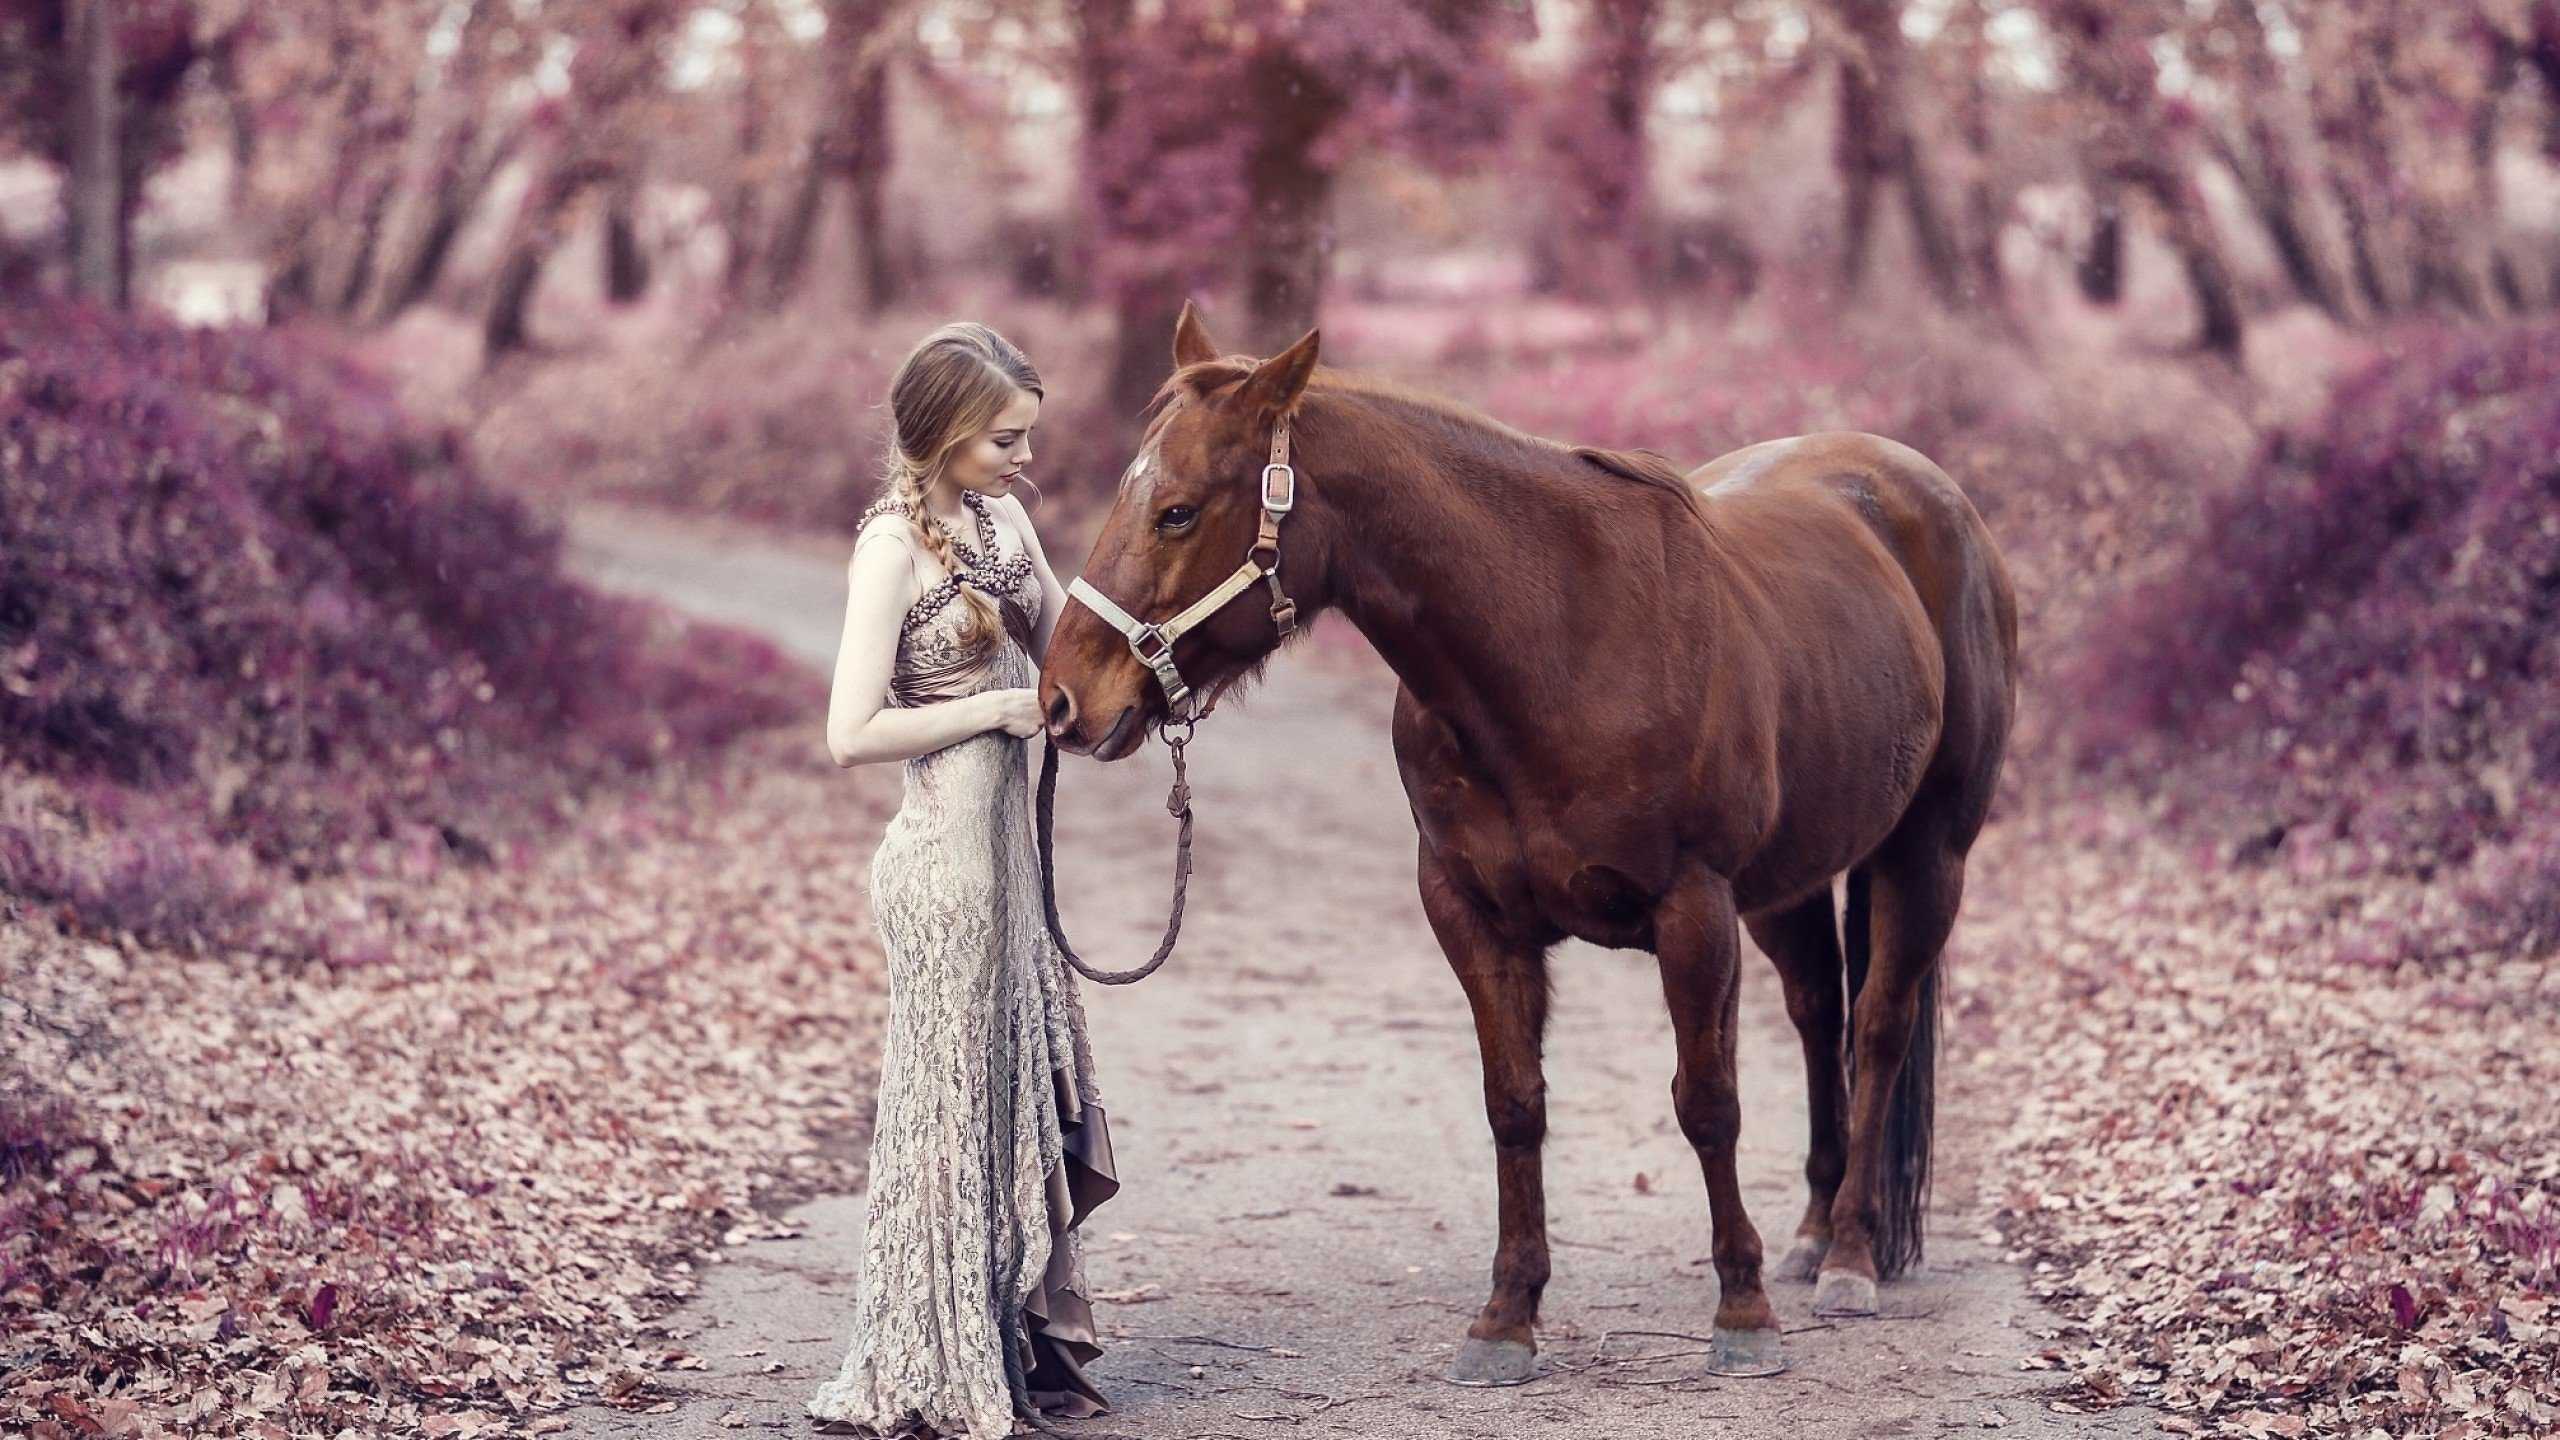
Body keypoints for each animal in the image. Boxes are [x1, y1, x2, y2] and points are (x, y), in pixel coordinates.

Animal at [1038, 303, 2017, 1387]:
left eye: (1177, 512)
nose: (1066, 699)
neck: (1560, 644)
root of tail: (1921, 493)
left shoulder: (1693, 911)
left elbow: (1707, 1101)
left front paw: (1743, 1312)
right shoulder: (1473, 915)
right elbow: (1514, 1105)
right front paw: (1507, 1317)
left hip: (1926, 855)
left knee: (1879, 1026)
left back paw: (1848, 1257)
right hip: (1788, 886)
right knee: (1818, 1015)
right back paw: (1810, 1235)